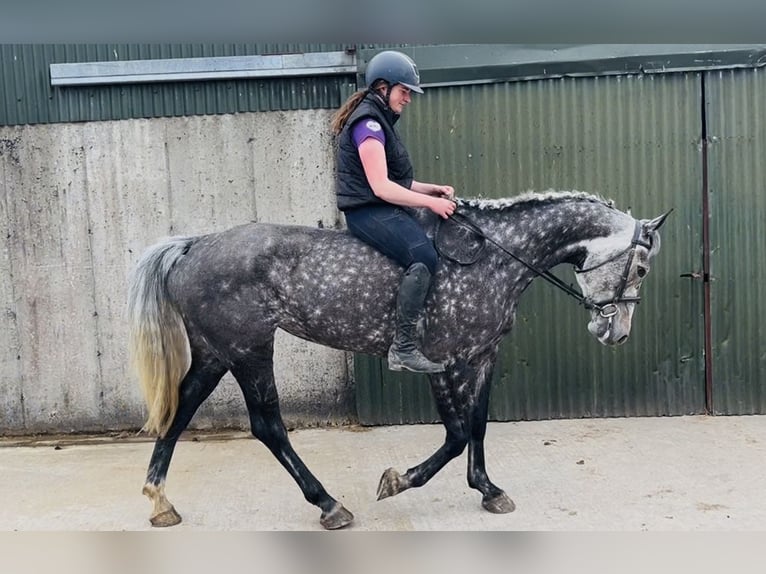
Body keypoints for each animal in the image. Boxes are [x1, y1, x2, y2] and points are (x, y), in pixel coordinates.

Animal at [127, 190, 670, 529]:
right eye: (641, 267)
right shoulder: (446, 362)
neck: (496, 257)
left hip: (216, 352)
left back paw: (159, 502)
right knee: (267, 426)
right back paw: (329, 505)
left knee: (180, 409)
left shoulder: (483, 356)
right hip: (250, 350)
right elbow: (456, 434)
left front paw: (488, 489)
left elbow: (478, 425)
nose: (615, 333)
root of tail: (196, 245)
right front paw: (399, 481)